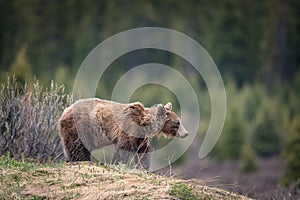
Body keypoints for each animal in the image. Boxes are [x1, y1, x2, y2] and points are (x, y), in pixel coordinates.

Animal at [58, 97, 189, 170]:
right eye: (177, 123)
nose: (186, 133)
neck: (144, 124)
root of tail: (65, 111)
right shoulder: (128, 129)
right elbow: (123, 149)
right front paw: (117, 163)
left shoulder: (140, 137)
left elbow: (144, 150)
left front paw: (143, 166)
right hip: (81, 127)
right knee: (78, 146)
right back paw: (81, 160)